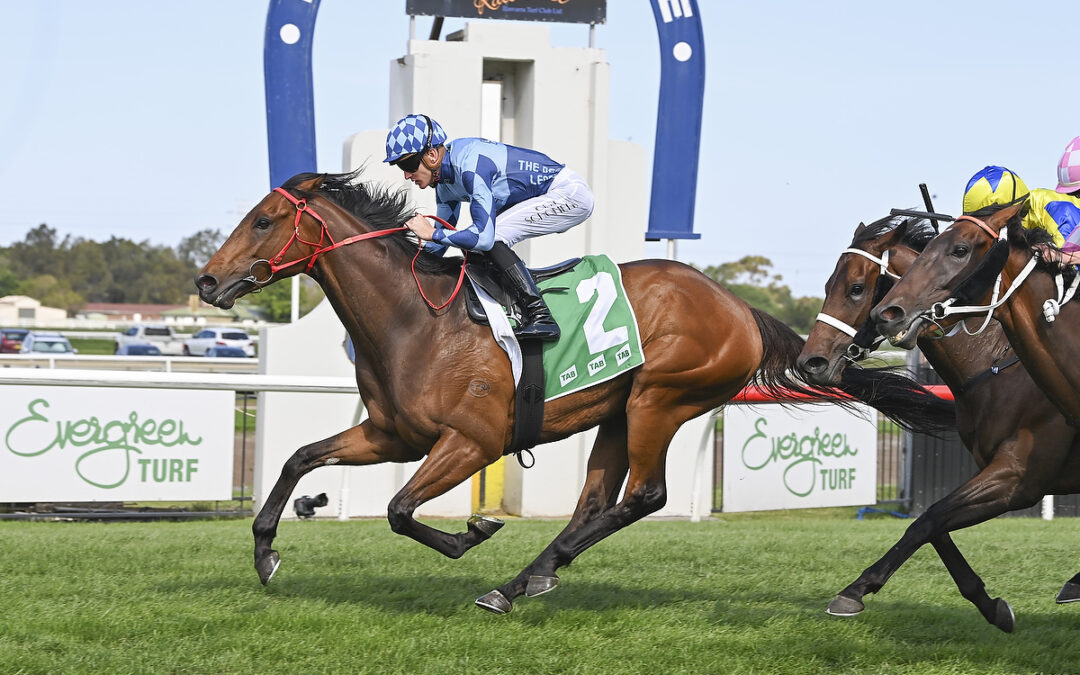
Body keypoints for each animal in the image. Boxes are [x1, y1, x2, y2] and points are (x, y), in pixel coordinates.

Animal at [196, 168, 954, 609]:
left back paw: (519, 579)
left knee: (644, 496)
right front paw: (266, 551)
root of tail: (740, 307)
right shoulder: (390, 434)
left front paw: (473, 531)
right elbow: (300, 458)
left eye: (264, 220)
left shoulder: (471, 442)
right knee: (595, 502)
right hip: (618, 411)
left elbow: (401, 509)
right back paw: (529, 576)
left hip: (659, 399)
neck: (416, 318)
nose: (207, 280)